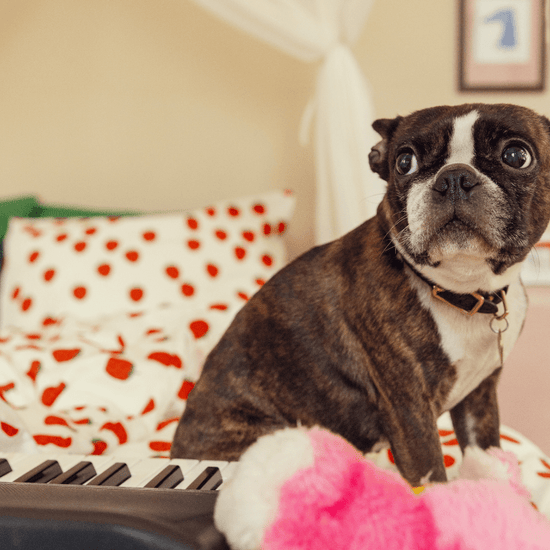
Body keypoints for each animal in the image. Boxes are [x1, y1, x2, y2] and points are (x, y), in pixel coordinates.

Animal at [175, 105, 550, 486]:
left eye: (516, 156)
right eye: (404, 162)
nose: (454, 177)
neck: (463, 291)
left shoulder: (480, 398)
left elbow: (489, 459)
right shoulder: (409, 408)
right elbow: (431, 472)